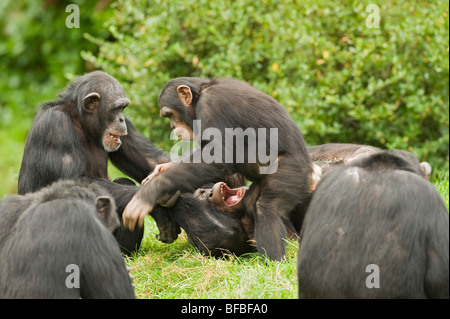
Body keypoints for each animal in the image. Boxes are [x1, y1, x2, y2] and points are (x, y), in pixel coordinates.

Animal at [17, 72, 179, 255]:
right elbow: (75, 181)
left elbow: (150, 160)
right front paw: (155, 202)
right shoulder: (55, 127)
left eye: (123, 109)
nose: (121, 119)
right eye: (116, 108)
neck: (81, 122)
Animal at [123, 78, 312, 262]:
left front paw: (150, 191)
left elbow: (218, 157)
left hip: (290, 171)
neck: (201, 93)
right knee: (252, 202)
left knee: (266, 208)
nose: (172, 126)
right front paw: (163, 169)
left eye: (169, 114)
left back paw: (275, 263)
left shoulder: (211, 106)